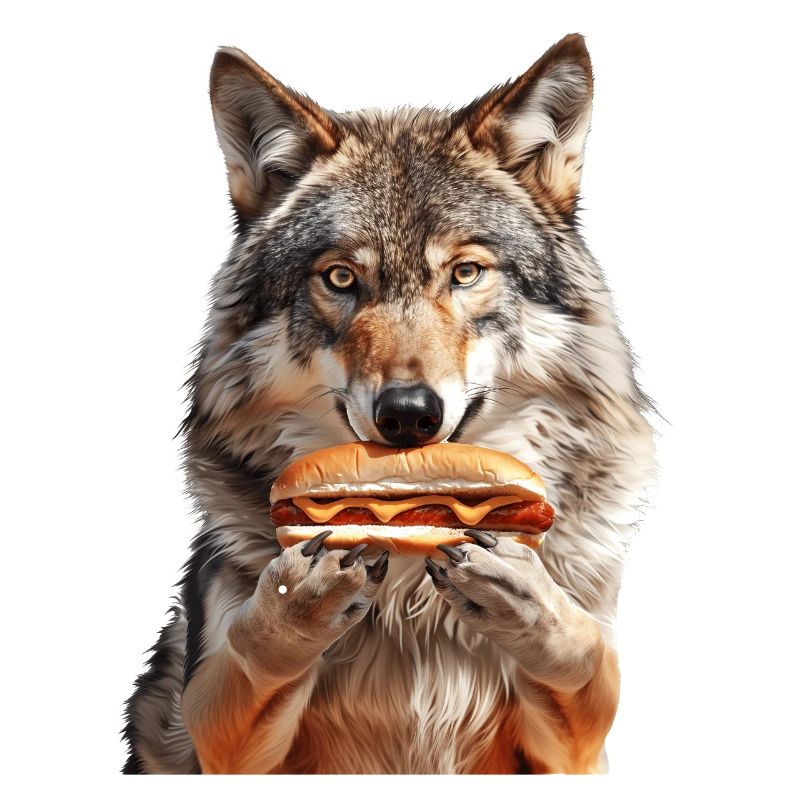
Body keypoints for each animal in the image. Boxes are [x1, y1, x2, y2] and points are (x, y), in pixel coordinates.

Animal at [122, 33, 656, 774]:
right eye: (341, 278)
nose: (407, 414)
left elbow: (579, 657)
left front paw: (526, 598)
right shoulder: (223, 743)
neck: (411, 602)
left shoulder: (573, 751)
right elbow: (256, 653)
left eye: (466, 273)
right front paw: (299, 601)